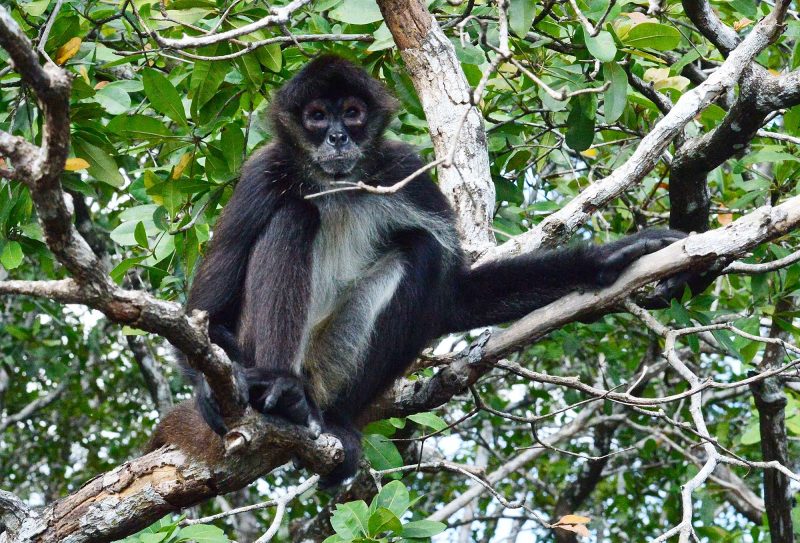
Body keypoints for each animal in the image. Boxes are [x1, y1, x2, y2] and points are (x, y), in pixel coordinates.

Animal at [150, 55, 686, 487]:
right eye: (317, 116)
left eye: (352, 113)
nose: (338, 137)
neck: (337, 185)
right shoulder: (264, 173)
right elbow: (207, 308)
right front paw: (207, 390)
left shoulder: (402, 169)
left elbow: (454, 296)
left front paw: (610, 259)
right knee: (294, 217)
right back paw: (278, 391)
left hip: (332, 365)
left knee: (420, 252)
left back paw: (330, 419)